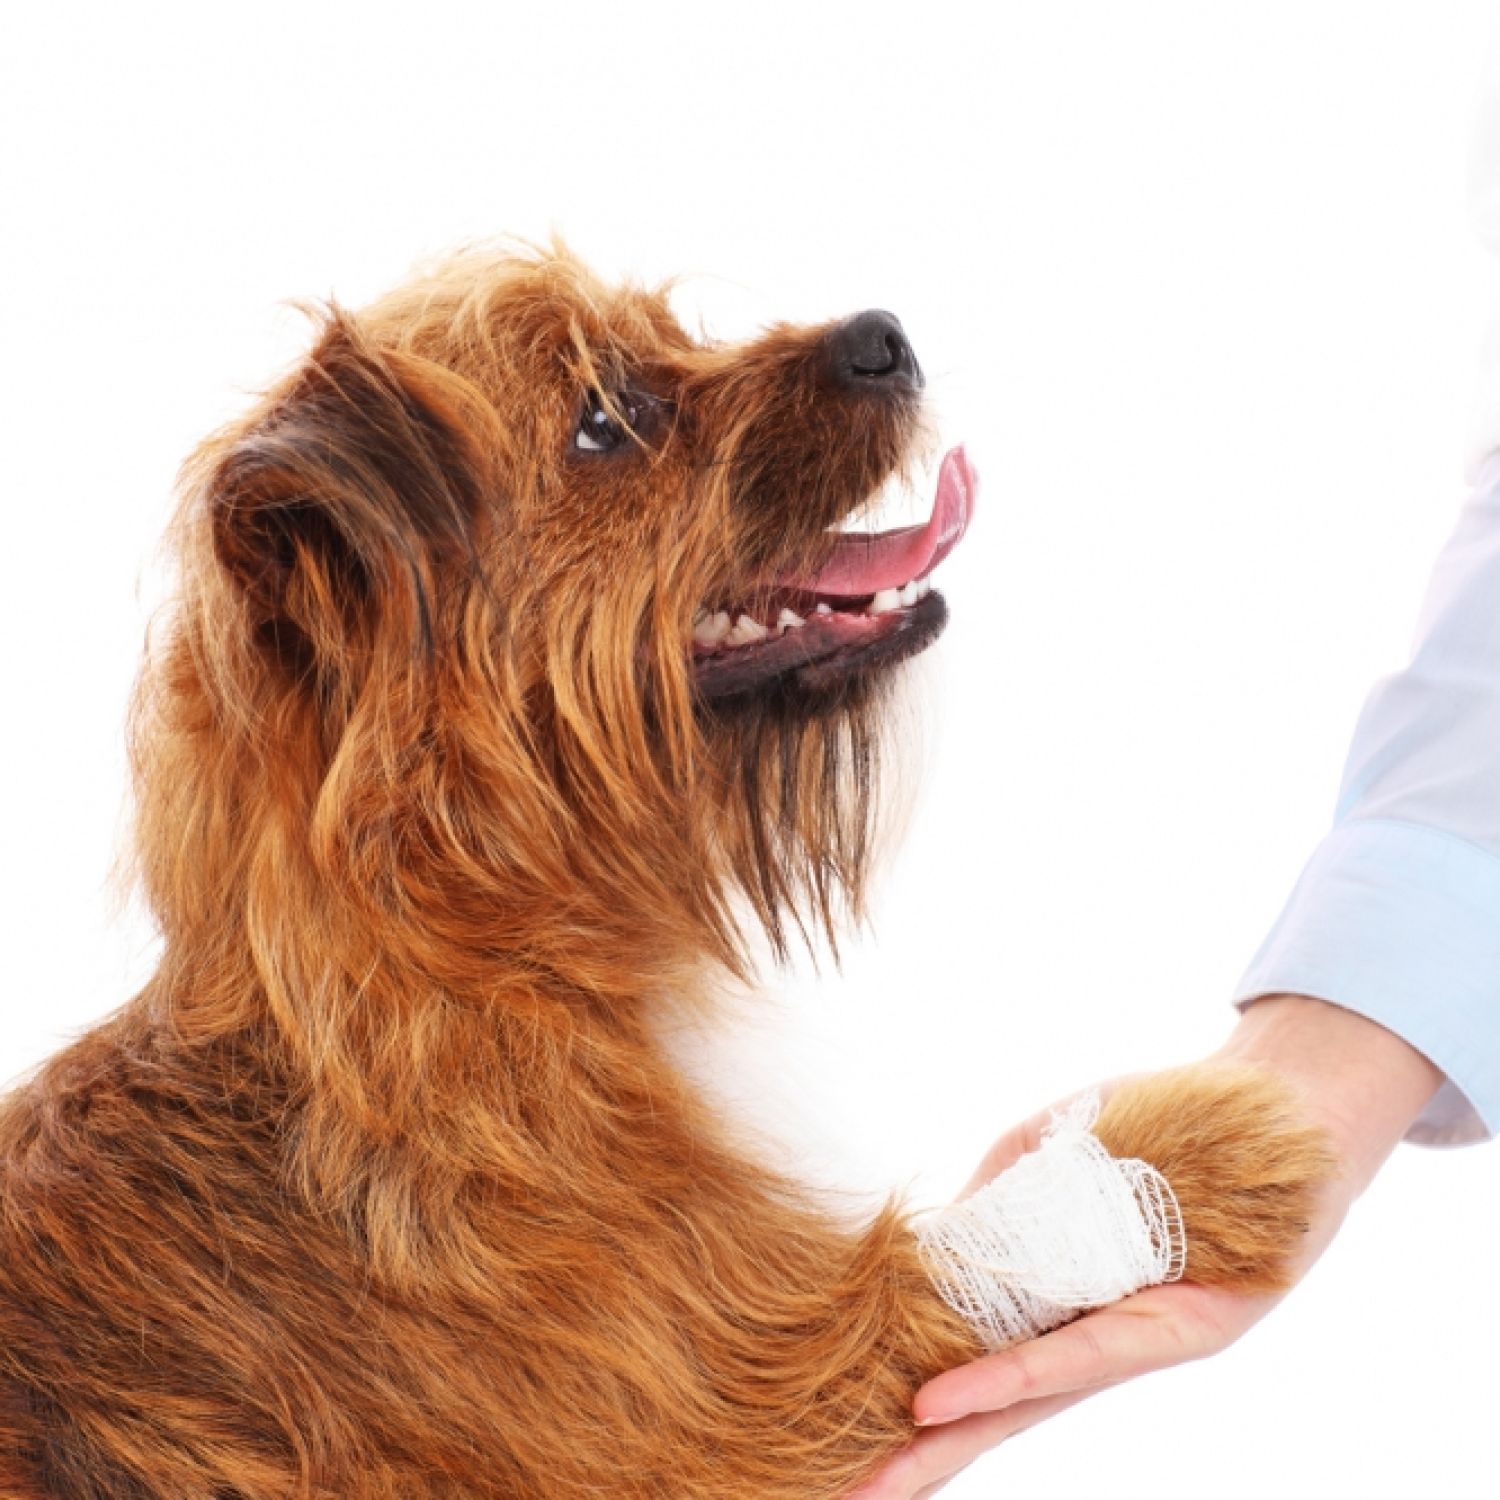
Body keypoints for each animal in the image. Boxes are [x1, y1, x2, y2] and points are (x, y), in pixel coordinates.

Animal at [5, 243, 1332, 1488]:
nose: (883, 335)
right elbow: (951, 1266)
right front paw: (1206, 1145)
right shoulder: (733, 1374)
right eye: (605, 416)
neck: (433, 971)